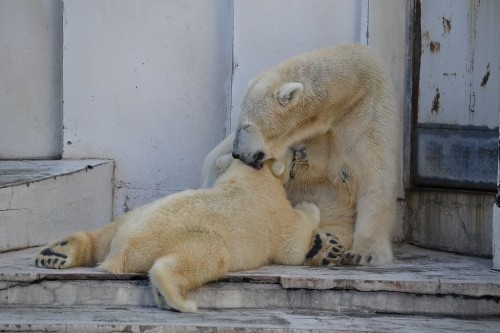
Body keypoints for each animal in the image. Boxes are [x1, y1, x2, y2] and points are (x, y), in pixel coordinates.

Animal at [34, 156, 320, 312]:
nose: (299, 153)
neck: (250, 178)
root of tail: (121, 248)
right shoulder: (274, 212)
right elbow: (293, 246)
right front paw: (311, 208)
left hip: (130, 217)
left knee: (103, 234)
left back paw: (57, 253)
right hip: (168, 241)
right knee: (208, 255)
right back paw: (177, 300)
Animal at [201, 44, 400, 268]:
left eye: (246, 125)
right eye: (238, 124)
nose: (237, 153)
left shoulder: (368, 113)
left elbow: (376, 176)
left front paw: (364, 254)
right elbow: (216, 160)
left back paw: (326, 247)